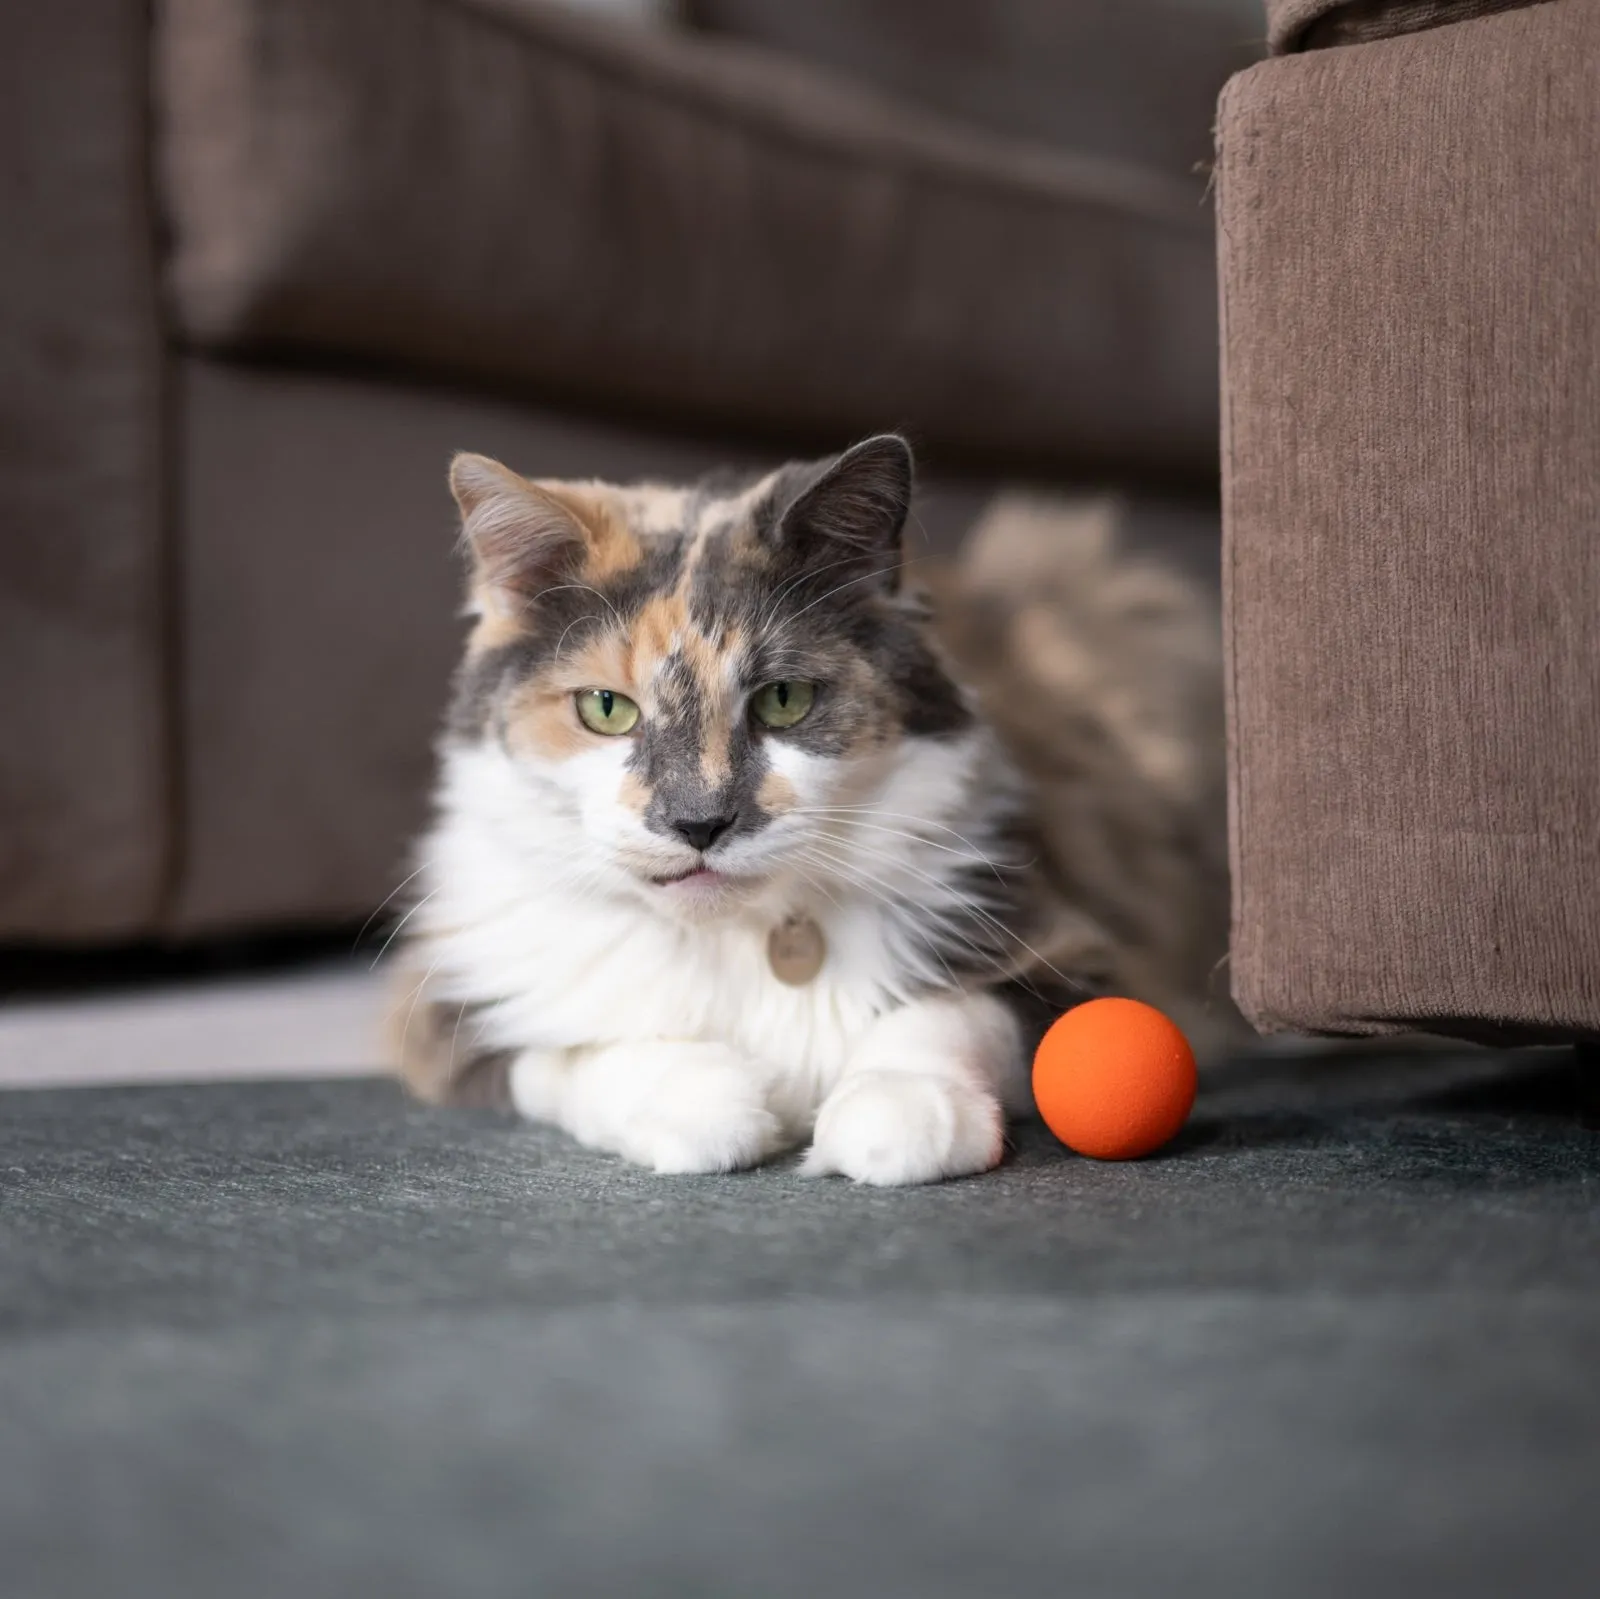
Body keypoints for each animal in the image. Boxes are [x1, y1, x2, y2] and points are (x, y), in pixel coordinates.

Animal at [390, 432, 1235, 1184]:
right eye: (605, 709)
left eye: (784, 700)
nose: (700, 822)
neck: (741, 942)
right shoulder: (444, 1010)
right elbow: (576, 1053)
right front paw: (713, 1102)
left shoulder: (1074, 945)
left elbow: (949, 1013)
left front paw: (897, 1116)